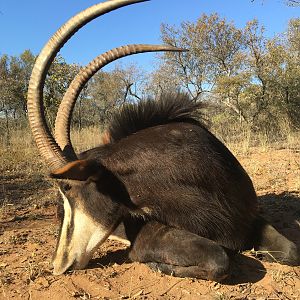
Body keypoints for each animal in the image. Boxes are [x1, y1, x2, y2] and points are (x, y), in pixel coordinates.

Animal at [27, 0, 298, 282]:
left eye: (67, 187)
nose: (57, 264)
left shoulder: (249, 220)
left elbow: (291, 251)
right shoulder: (148, 235)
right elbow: (219, 259)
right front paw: (159, 265)